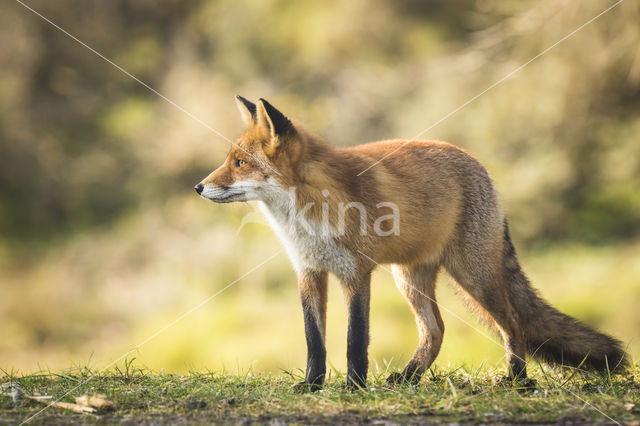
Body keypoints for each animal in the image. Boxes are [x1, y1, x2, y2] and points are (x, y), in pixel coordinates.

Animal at [195, 95, 624, 390]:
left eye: (239, 163)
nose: (198, 187)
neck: (307, 213)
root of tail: (479, 165)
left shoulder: (356, 273)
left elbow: (355, 339)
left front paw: (354, 387)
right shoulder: (309, 272)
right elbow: (313, 340)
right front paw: (312, 385)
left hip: (474, 276)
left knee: (513, 323)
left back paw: (516, 379)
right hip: (410, 279)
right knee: (436, 331)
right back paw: (408, 378)